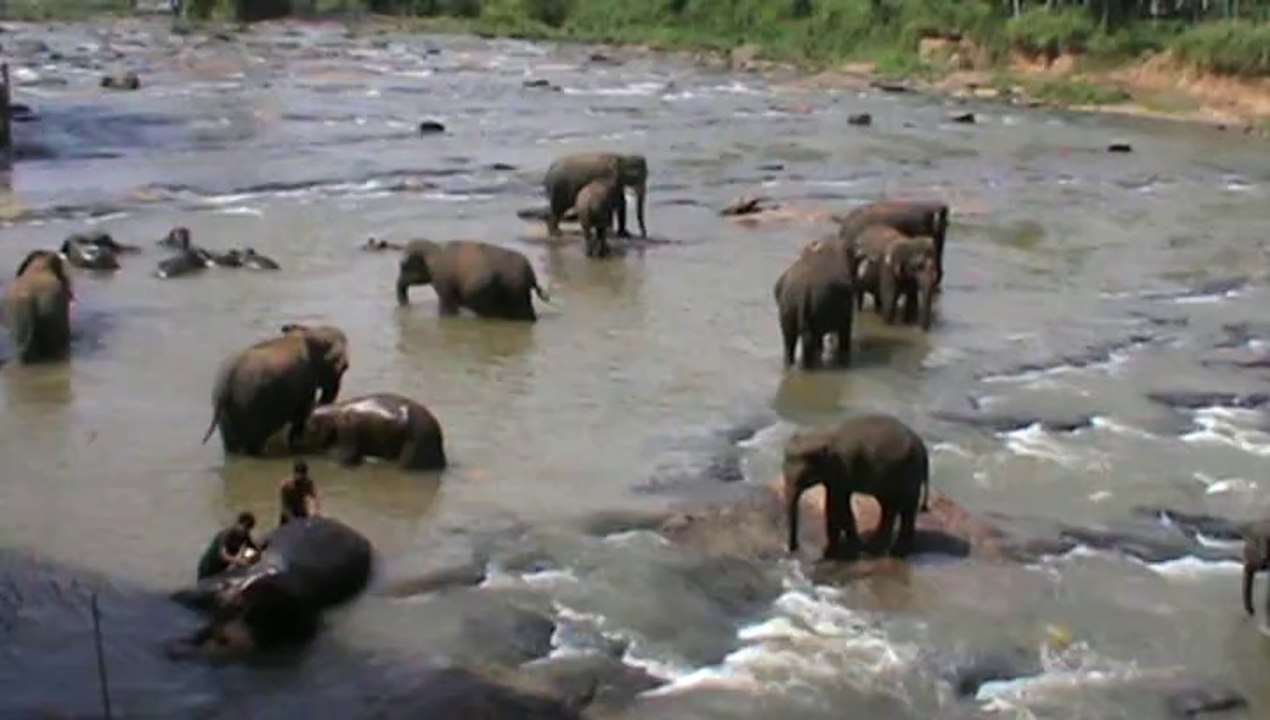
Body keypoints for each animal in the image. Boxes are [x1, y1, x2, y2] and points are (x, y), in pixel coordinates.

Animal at [202, 323, 350, 456]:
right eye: (345, 367)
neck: (311, 332)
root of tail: (225, 383)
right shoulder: (304, 384)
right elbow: (301, 414)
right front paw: (297, 447)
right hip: (249, 405)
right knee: (253, 443)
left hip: (225, 410)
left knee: (231, 445)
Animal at [396, 239, 550, 322]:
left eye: (403, 266)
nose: (407, 307)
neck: (435, 247)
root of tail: (531, 274)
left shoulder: (443, 280)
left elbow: (448, 308)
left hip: (515, 291)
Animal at [773, 241, 856, 370]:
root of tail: (804, 288)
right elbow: (845, 331)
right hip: (819, 305)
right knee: (808, 341)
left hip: (788, 306)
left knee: (790, 340)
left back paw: (791, 365)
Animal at [784, 413, 931, 560]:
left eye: (803, 477)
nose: (793, 549)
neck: (821, 434)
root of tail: (922, 446)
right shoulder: (834, 476)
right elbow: (834, 506)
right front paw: (842, 550)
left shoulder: (843, 469)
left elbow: (838, 507)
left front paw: (834, 554)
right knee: (889, 506)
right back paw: (875, 547)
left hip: (910, 471)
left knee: (906, 508)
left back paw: (897, 552)